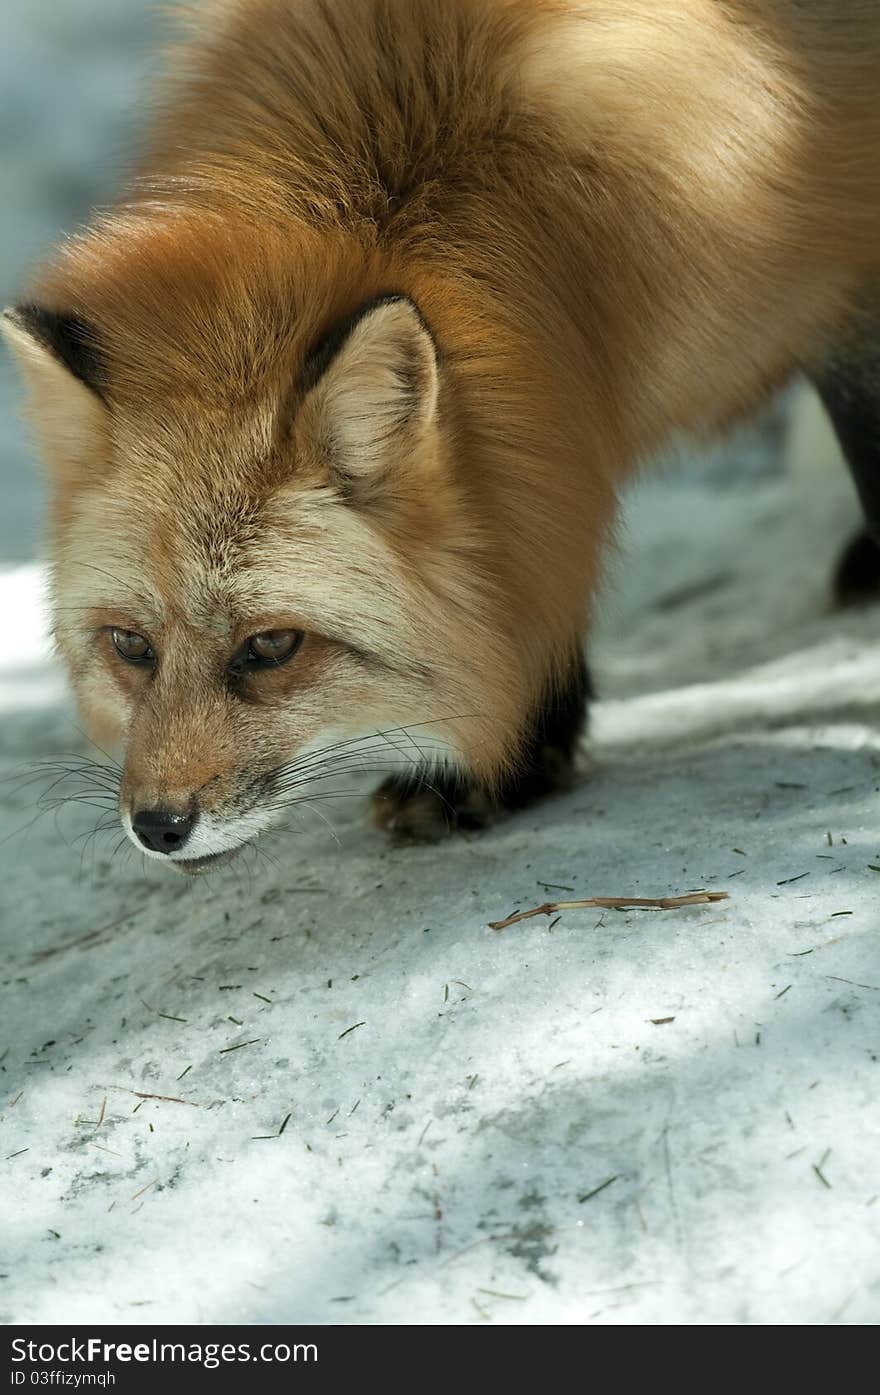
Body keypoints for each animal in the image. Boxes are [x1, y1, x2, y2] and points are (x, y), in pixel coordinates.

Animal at [1, 2, 880, 870]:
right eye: (130, 644)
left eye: (273, 644)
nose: (159, 825)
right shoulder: (551, 435)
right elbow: (524, 568)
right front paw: (509, 764)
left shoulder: (843, 273)